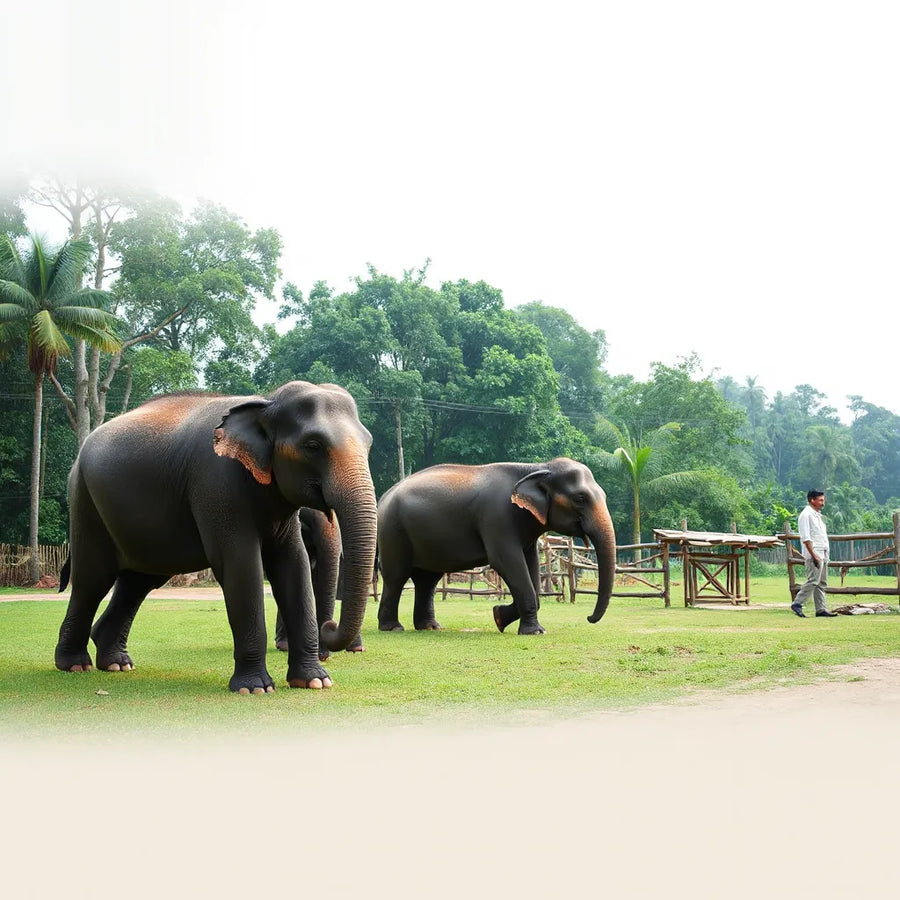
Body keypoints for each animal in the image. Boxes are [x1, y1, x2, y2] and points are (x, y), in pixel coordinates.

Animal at [376, 457, 616, 635]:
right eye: (580, 498)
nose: (589, 618)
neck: (537, 467)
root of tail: (383, 497)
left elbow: (530, 566)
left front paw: (499, 616)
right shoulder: (496, 518)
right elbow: (506, 562)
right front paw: (535, 632)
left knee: (427, 580)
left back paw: (430, 627)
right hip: (393, 532)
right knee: (396, 577)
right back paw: (393, 628)